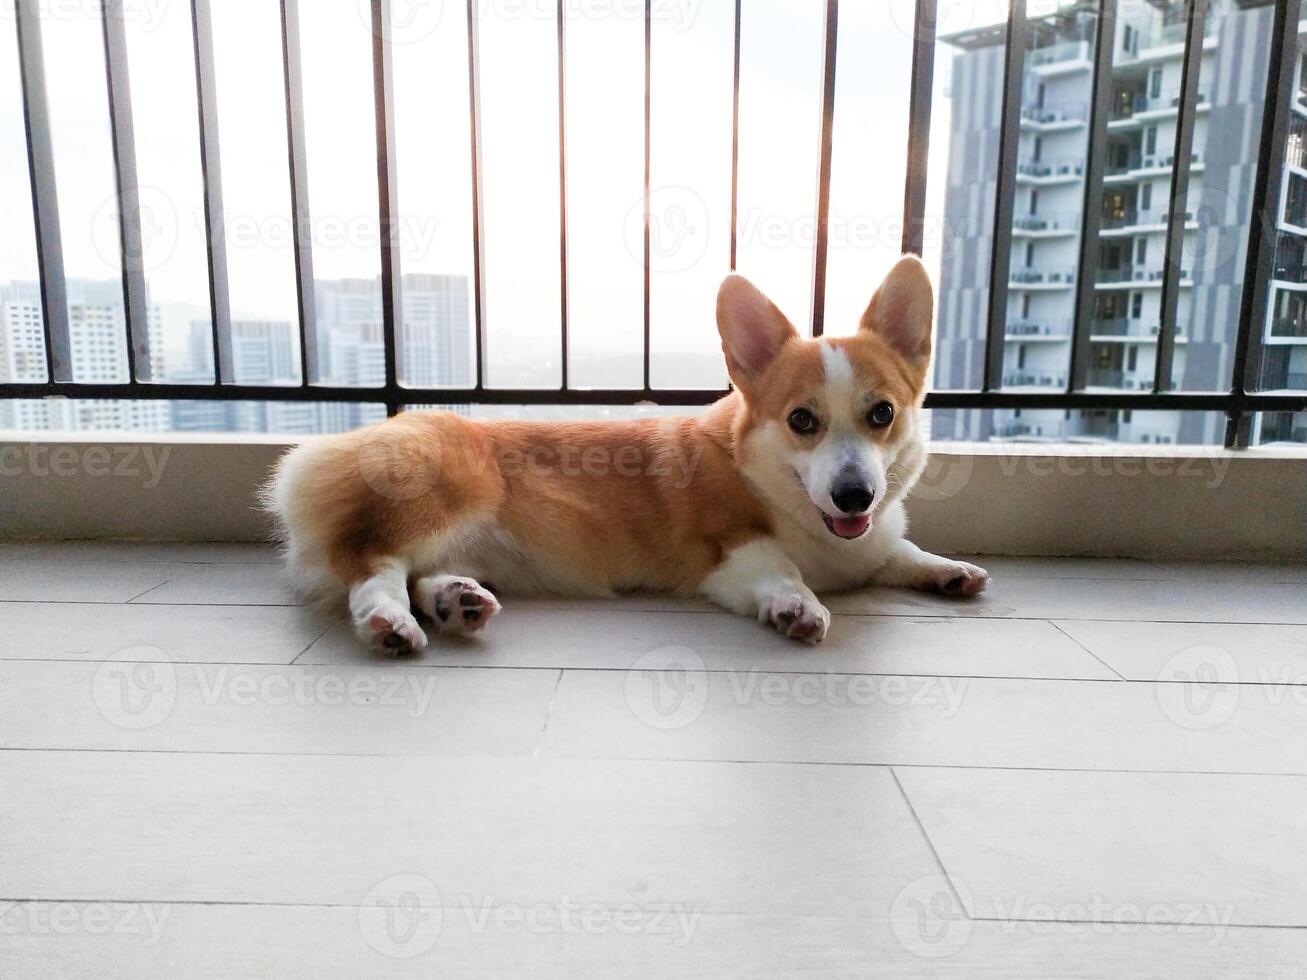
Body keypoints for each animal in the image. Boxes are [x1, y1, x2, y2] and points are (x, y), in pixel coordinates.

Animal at [265, 254, 982, 653]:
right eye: (801, 420)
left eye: (882, 413)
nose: (854, 495)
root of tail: (334, 445)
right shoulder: (730, 552)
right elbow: (781, 572)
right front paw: (798, 607)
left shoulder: (872, 542)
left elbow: (901, 551)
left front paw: (949, 570)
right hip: (440, 494)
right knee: (372, 564)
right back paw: (389, 623)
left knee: (422, 574)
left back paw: (455, 602)